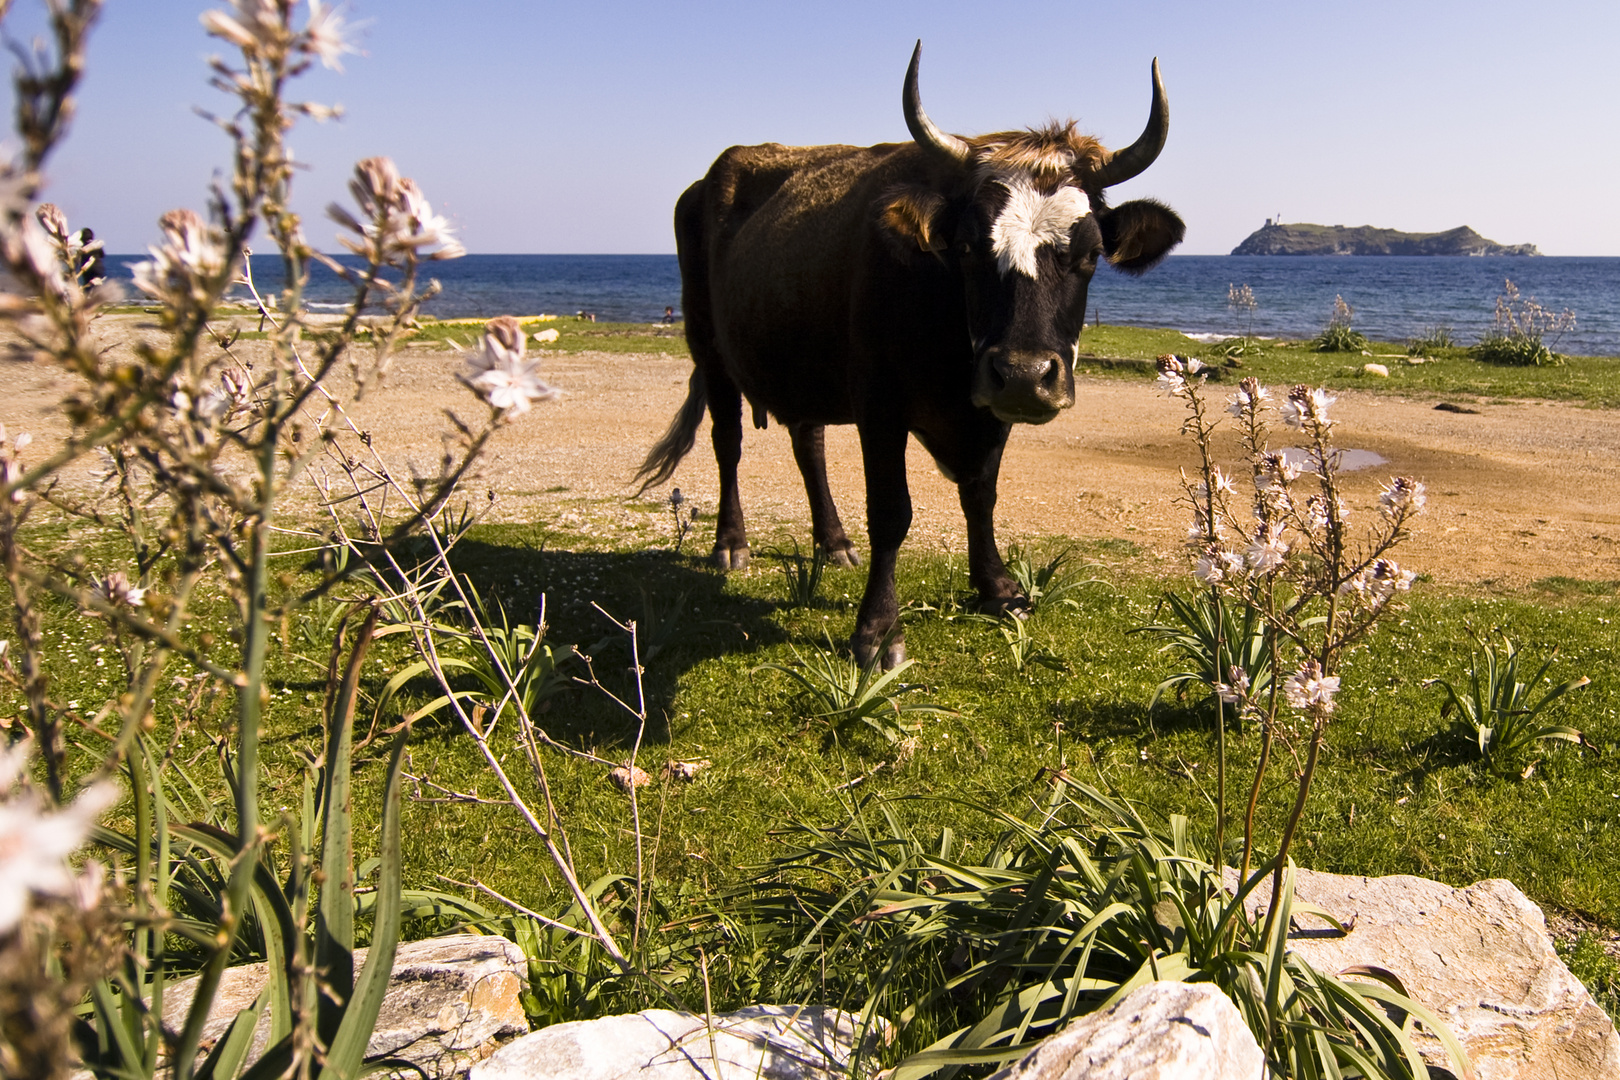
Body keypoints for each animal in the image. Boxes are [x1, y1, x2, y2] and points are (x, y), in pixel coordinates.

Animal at [638, 44, 1185, 667]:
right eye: (968, 247)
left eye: (1091, 253)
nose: (1025, 375)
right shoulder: (879, 402)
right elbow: (891, 511)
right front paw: (878, 630)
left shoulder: (986, 403)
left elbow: (981, 494)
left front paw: (997, 588)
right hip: (709, 348)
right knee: (727, 442)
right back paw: (732, 543)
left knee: (809, 444)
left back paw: (833, 543)